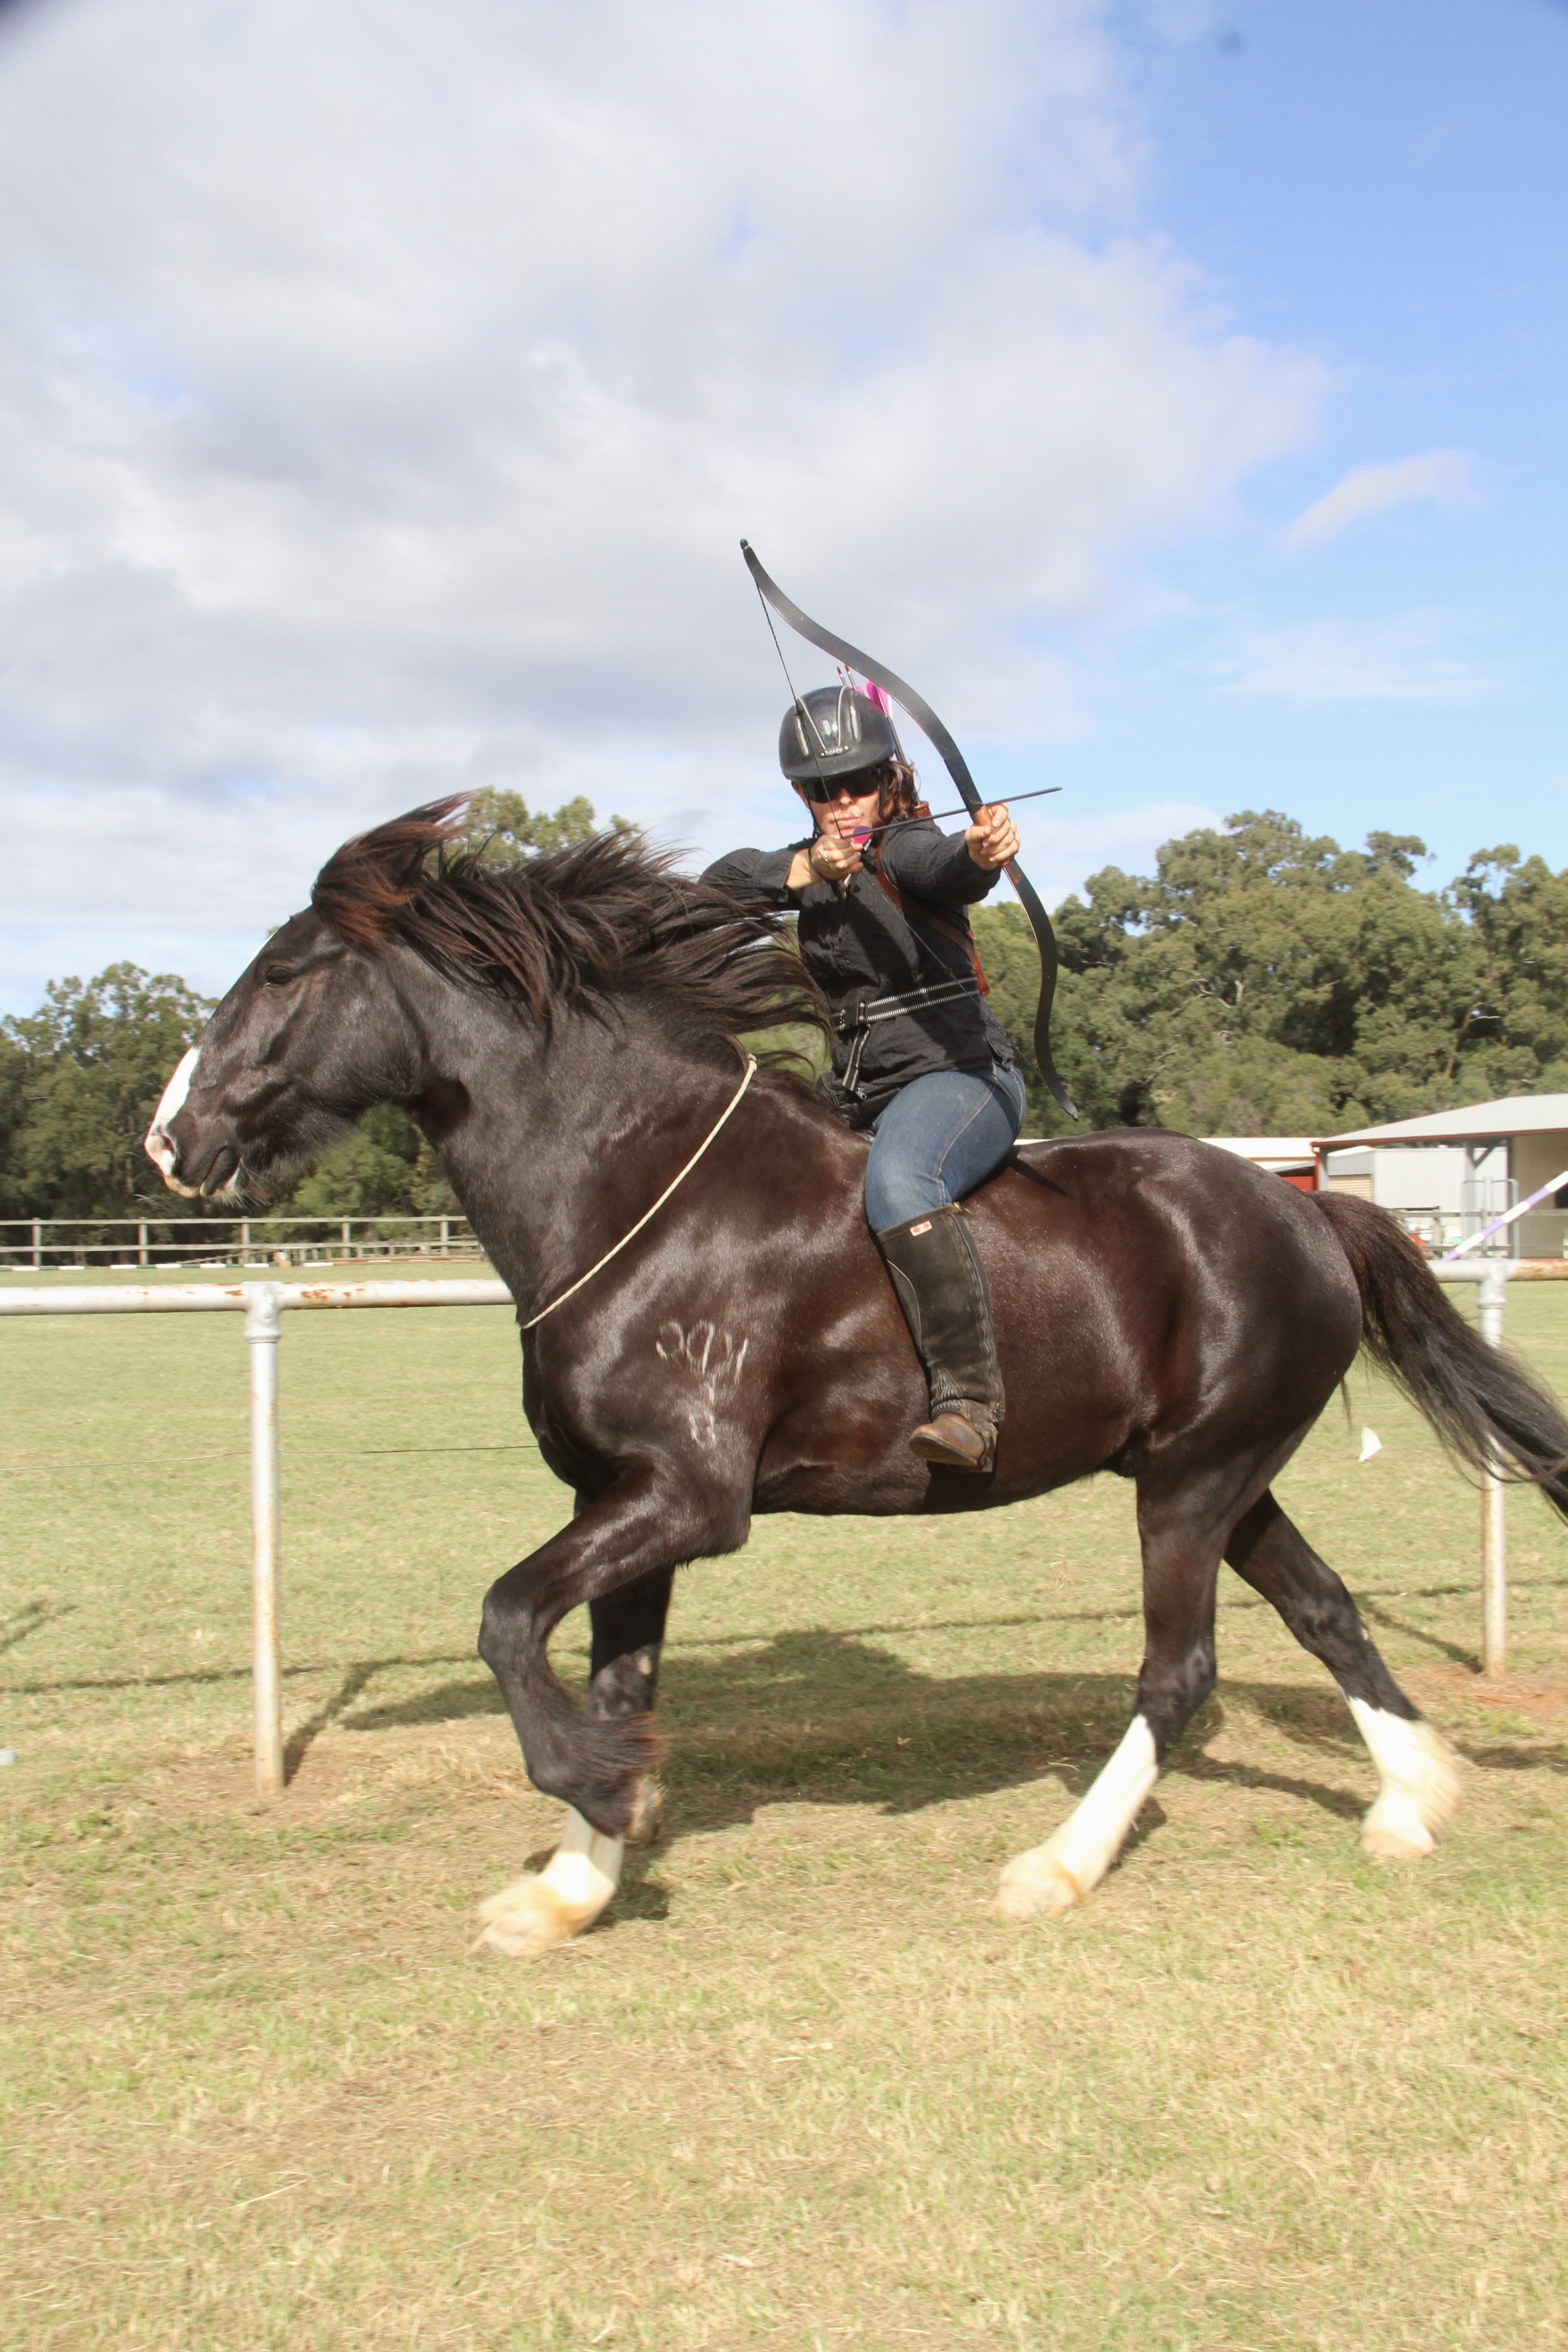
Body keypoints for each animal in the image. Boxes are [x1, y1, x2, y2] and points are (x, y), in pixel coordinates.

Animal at [145, 801, 1568, 1957]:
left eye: (282, 972)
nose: (171, 1142)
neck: (637, 1187)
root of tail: (1313, 1212)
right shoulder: (621, 1501)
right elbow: (611, 1676)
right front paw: (574, 1882)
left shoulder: (687, 1501)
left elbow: (503, 1621)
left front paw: (596, 1790)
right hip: (1218, 1474)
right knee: (1324, 1611)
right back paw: (1410, 1804)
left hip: (1191, 1486)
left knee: (1178, 1674)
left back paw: (1057, 1865)